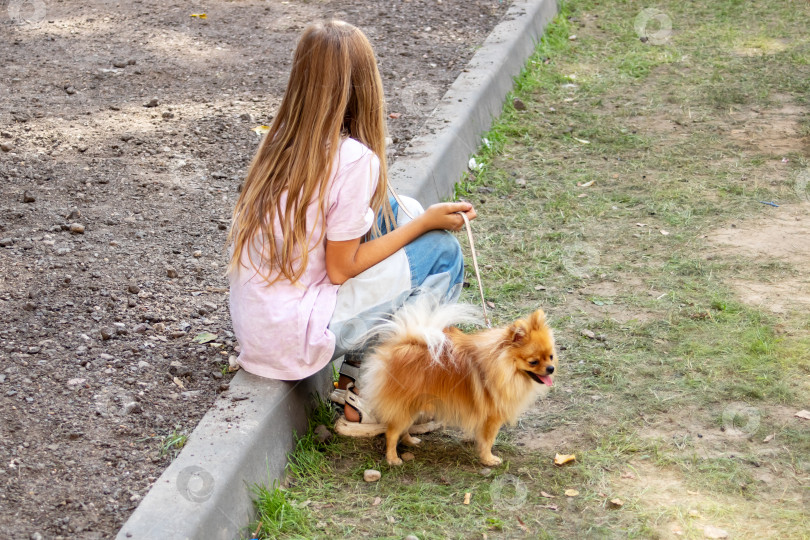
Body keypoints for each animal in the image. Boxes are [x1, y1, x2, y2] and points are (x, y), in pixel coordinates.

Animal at [360, 296, 556, 464]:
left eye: (551, 357)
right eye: (533, 362)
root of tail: (402, 345)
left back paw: (410, 440)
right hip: (405, 404)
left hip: (414, 404)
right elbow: (488, 440)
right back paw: (393, 458)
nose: (551, 368)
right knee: (392, 432)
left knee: (403, 428)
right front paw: (488, 459)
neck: (503, 367)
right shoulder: (492, 417)